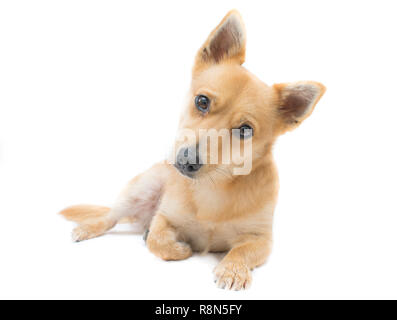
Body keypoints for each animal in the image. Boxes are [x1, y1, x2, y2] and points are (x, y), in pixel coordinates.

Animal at [59, 10, 324, 290]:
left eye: (245, 130)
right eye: (202, 101)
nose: (186, 160)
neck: (214, 188)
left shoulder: (261, 238)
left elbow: (241, 251)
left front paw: (233, 269)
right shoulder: (164, 218)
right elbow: (157, 241)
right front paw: (179, 249)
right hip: (141, 188)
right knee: (111, 215)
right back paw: (91, 227)